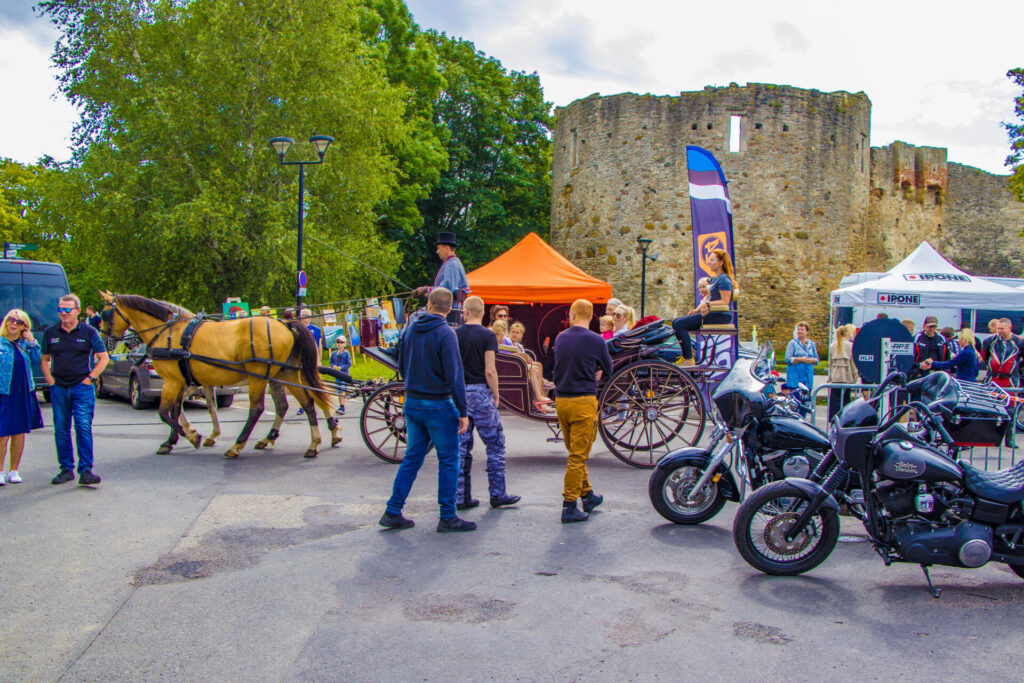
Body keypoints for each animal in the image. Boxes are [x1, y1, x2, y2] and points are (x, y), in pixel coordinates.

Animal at [99, 291, 340, 458]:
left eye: (104, 314)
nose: (104, 341)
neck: (170, 332)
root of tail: (285, 324)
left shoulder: (173, 380)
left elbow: (165, 412)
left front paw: (192, 436)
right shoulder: (185, 380)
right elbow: (182, 409)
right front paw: (176, 439)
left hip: (259, 376)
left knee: (258, 409)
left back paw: (237, 445)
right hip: (285, 373)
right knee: (304, 402)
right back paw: (312, 442)